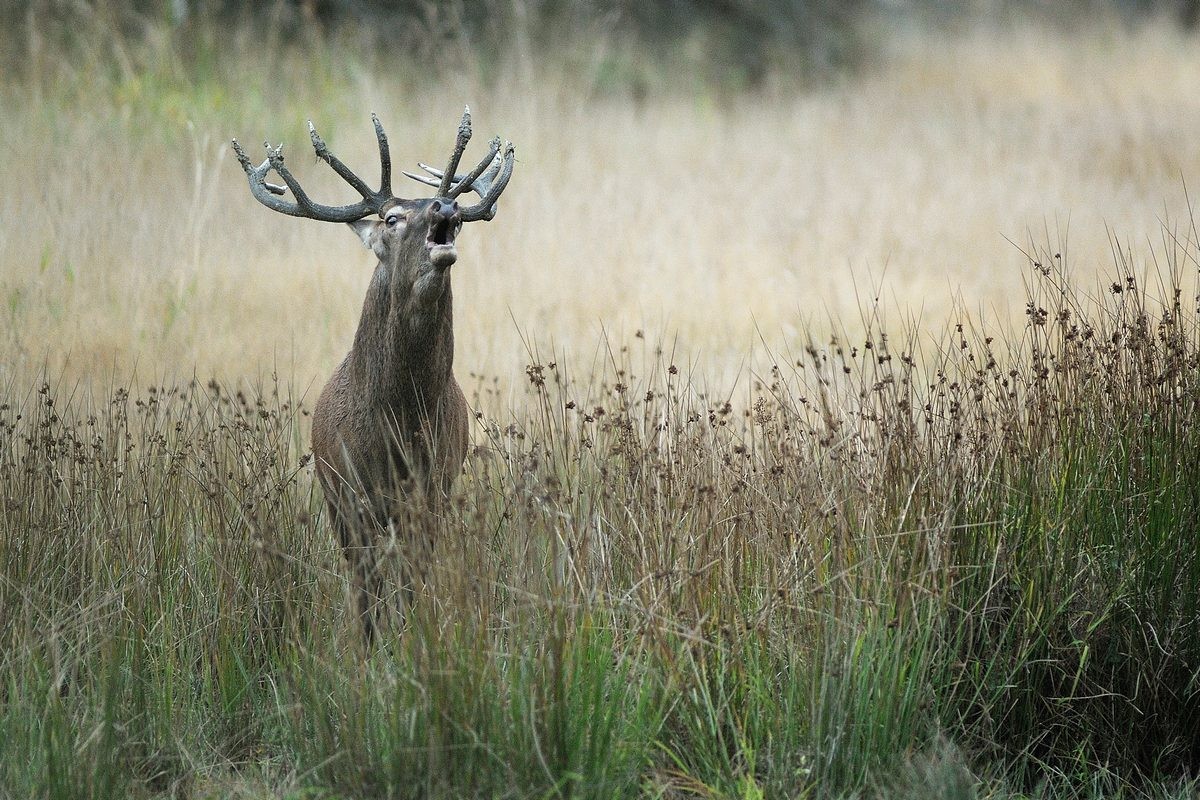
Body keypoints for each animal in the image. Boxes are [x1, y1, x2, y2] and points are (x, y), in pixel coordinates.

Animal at [234, 109, 516, 642]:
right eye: (391, 218)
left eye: (455, 216)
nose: (446, 204)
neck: (400, 420)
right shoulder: (352, 496)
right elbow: (367, 592)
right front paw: (369, 652)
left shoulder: (433, 490)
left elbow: (413, 582)